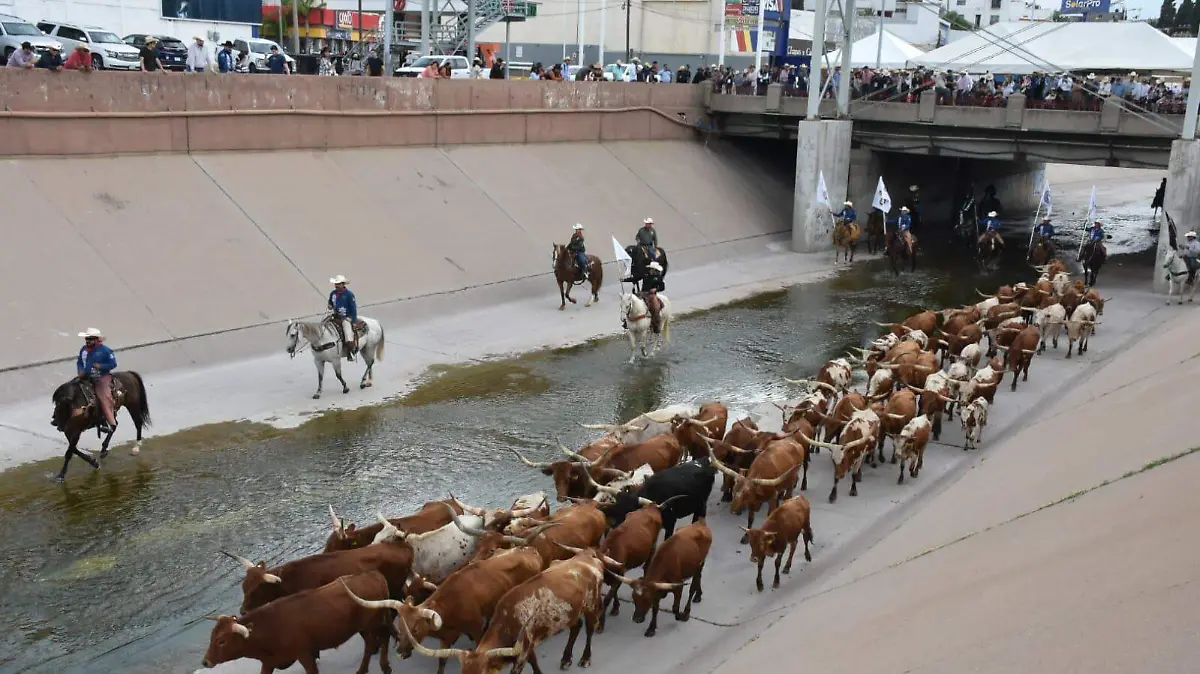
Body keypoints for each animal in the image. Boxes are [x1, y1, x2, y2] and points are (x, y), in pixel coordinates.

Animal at [204, 568, 391, 671]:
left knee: (377, 641)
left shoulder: (305, 654)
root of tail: (373, 574)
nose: (205, 661)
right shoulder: (269, 662)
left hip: (372, 624)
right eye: (211, 637)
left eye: (221, 641)